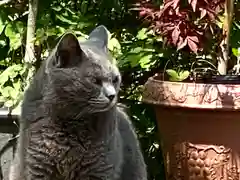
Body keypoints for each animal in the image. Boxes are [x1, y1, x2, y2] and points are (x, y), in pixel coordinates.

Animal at [8, 25, 147, 180]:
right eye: (94, 80)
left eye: (115, 79)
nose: (112, 95)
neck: (72, 122)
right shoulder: (36, 167)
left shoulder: (101, 170)